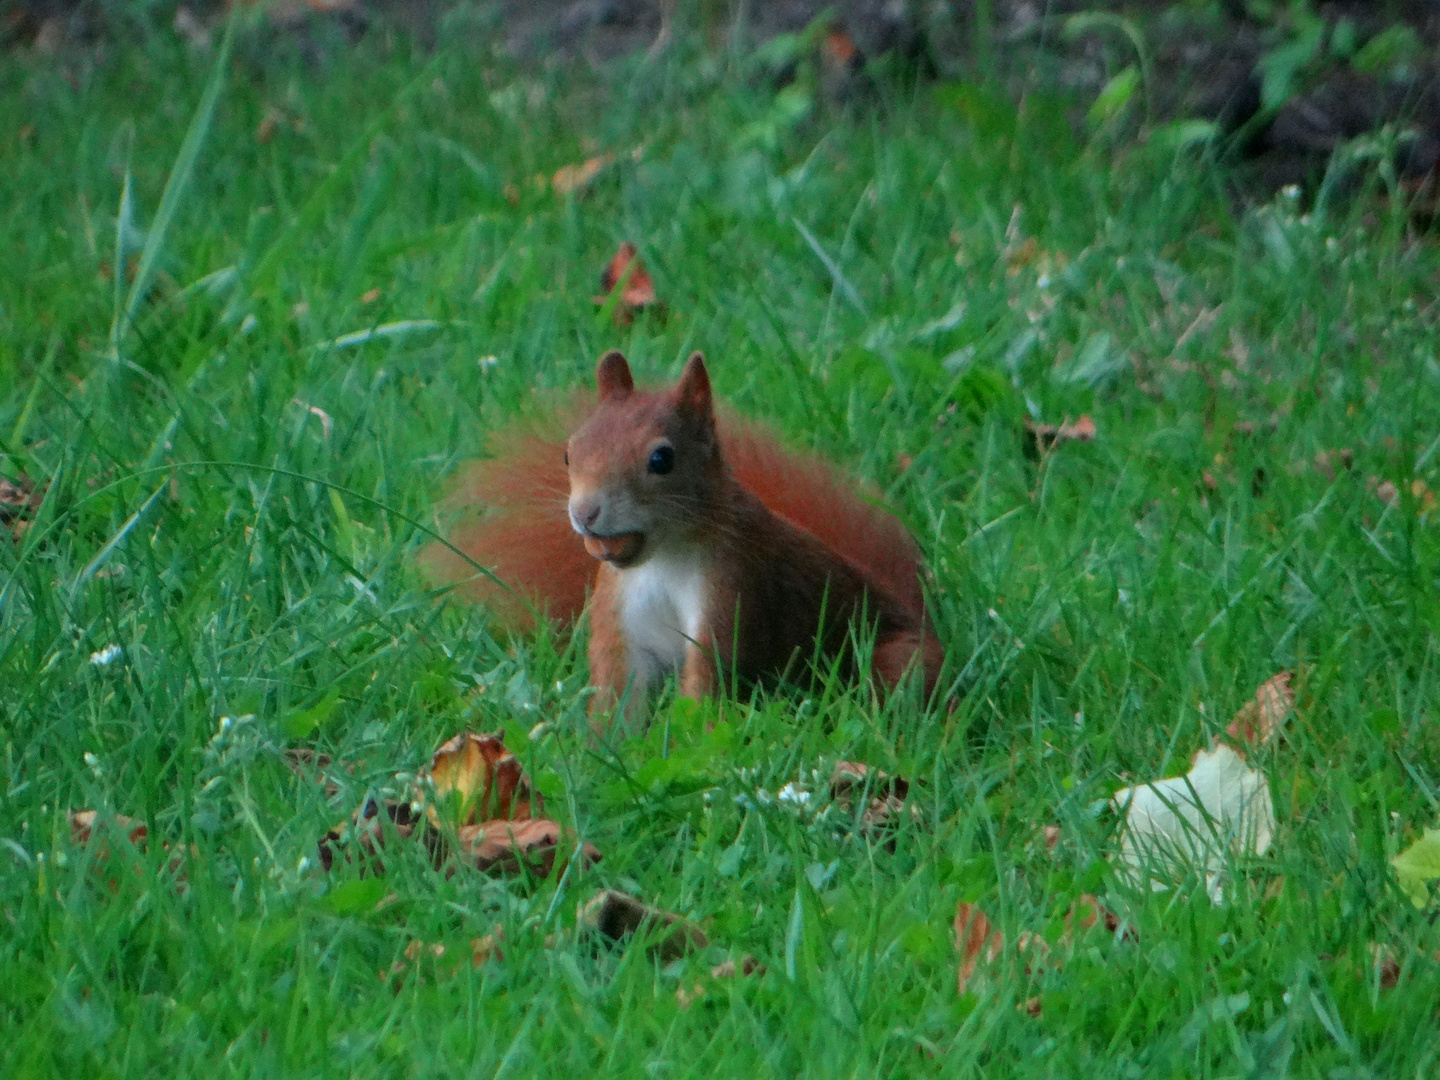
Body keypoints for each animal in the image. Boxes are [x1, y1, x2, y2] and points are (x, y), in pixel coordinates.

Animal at [423, 351, 944, 714]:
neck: (662, 560)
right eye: (569, 453)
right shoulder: (620, 616)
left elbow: (707, 677)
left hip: (897, 658)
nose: (585, 512)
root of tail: (916, 613)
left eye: (661, 459)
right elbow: (617, 691)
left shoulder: (730, 588)